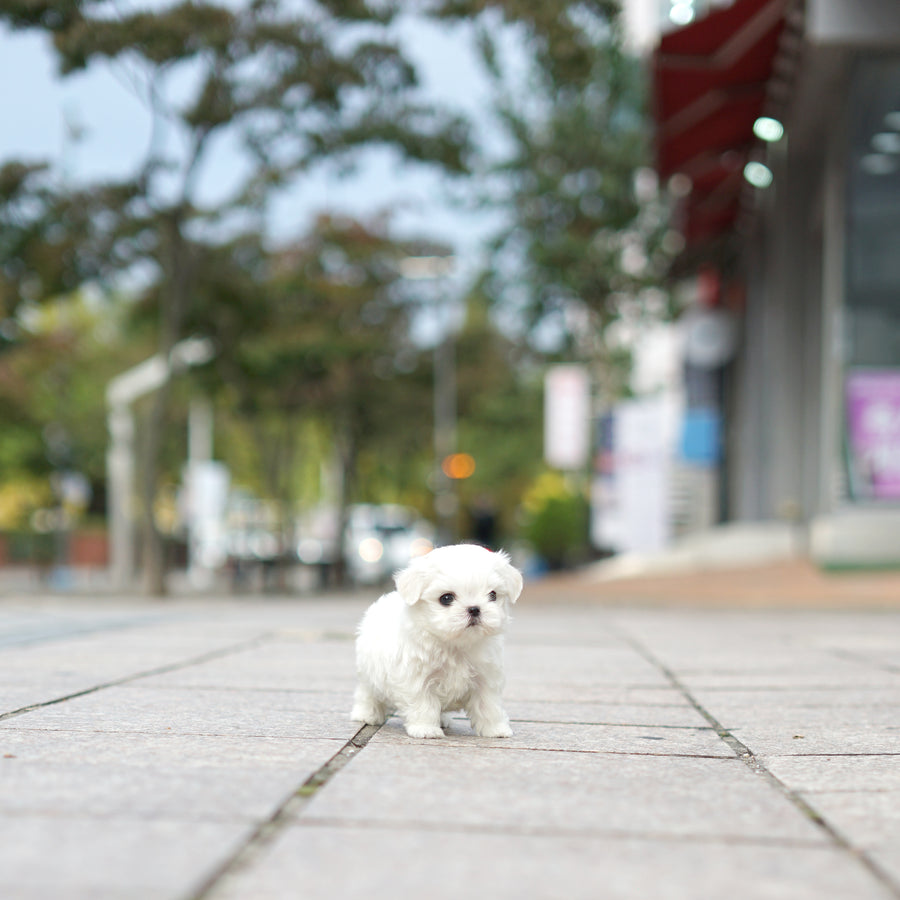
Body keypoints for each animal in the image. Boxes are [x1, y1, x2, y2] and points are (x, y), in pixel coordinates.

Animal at [350, 540, 520, 740]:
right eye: (446, 598)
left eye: (493, 595)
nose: (474, 609)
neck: (455, 645)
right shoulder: (416, 678)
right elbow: (423, 704)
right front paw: (426, 729)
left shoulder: (485, 677)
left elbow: (488, 705)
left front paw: (495, 729)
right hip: (368, 671)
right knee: (367, 693)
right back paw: (366, 714)